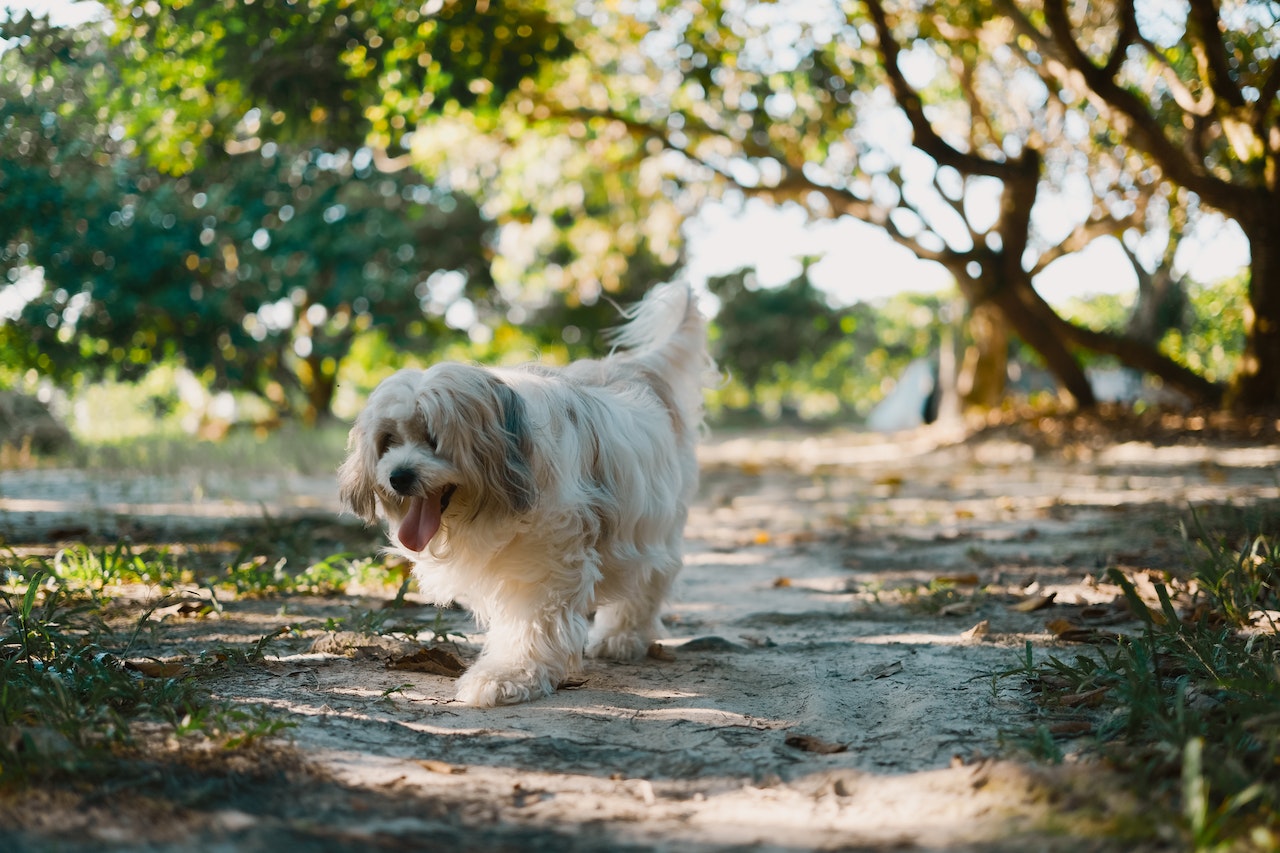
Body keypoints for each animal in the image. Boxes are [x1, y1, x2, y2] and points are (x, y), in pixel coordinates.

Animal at [337, 284, 711, 701]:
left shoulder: (549, 557)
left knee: (650, 578)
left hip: (652, 520)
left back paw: (623, 635)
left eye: (433, 438)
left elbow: (532, 620)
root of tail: (638, 370)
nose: (398, 476)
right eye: (388, 441)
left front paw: (508, 675)